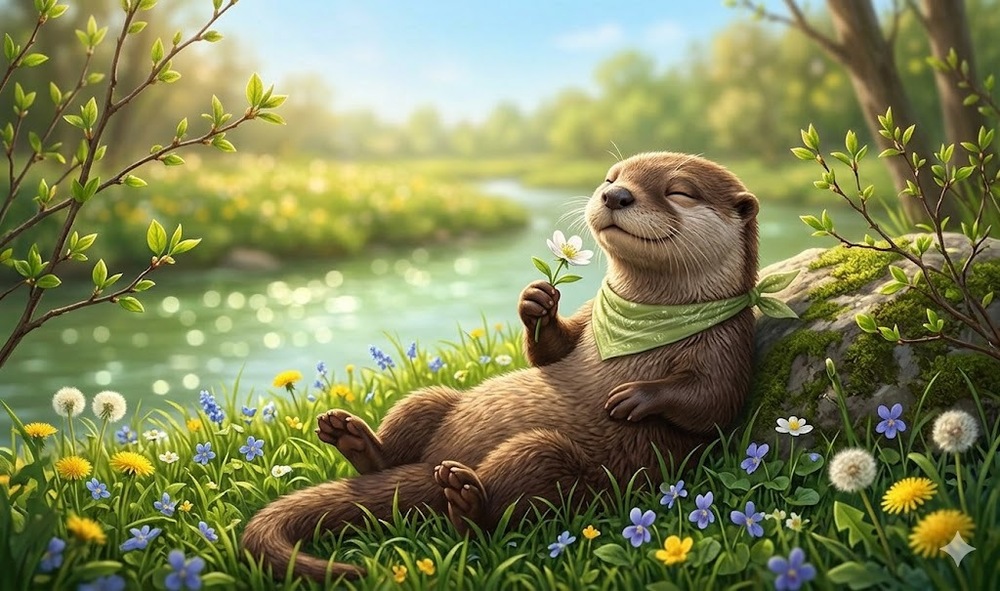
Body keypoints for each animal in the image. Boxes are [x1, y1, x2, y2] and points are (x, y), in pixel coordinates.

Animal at [241, 152, 761, 582]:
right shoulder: (589, 314)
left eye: (679, 191)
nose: (615, 194)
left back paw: (465, 498)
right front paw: (537, 302)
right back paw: (353, 438)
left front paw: (634, 396)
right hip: (428, 399)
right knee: (410, 421)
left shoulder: (729, 340)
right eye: (611, 177)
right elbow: (552, 352)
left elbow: (713, 401)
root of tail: (436, 462)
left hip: (554, 461)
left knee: (511, 501)